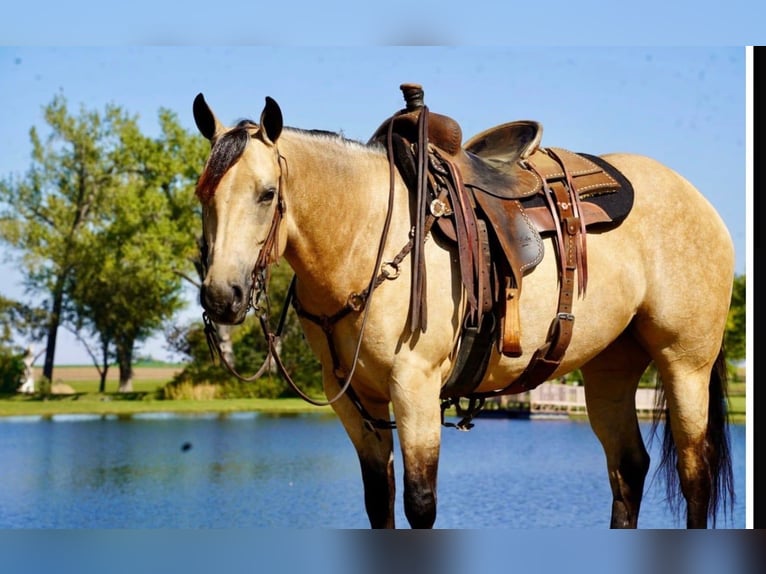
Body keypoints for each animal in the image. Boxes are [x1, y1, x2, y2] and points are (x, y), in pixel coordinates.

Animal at [191, 89, 735, 529]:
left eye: (267, 194)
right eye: (203, 194)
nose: (222, 296)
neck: (363, 238)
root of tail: (700, 201)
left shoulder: (415, 385)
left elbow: (420, 504)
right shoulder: (353, 400)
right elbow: (379, 501)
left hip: (685, 363)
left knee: (694, 473)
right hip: (610, 367)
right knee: (628, 467)